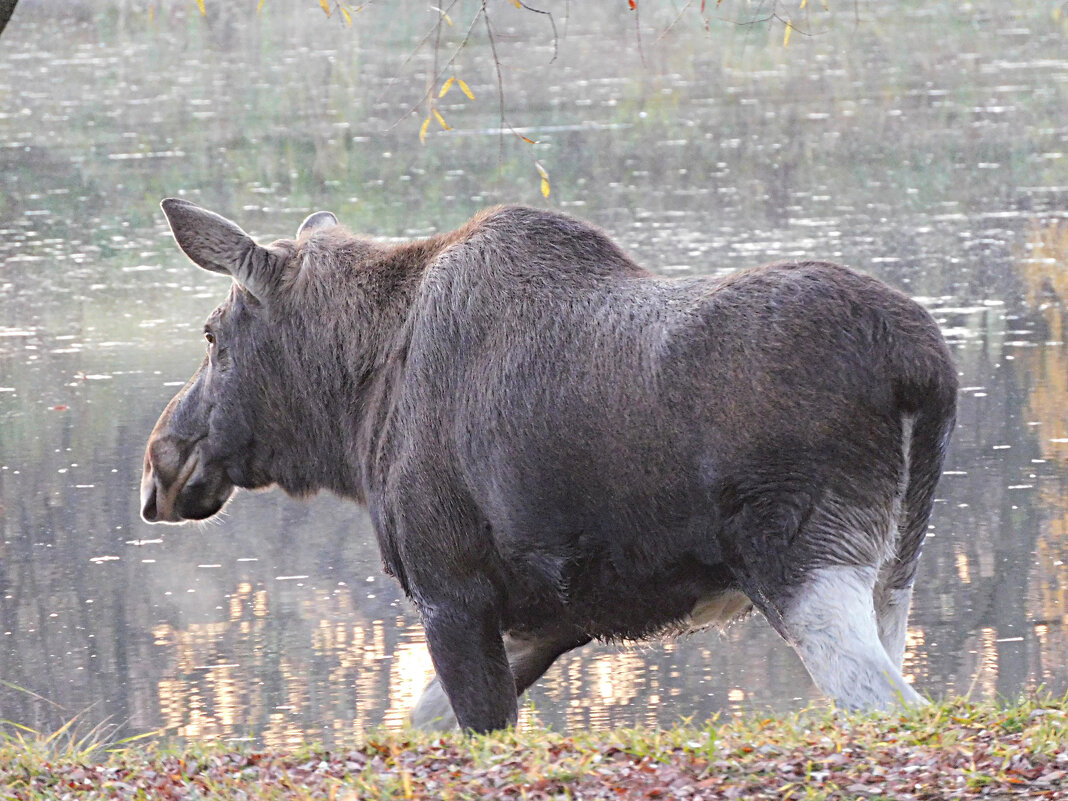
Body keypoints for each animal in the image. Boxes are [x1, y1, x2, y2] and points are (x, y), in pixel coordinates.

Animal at [139, 200, 961, 734]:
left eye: (212, 334)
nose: (160, 464)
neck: (355, 412)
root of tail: (923, 366)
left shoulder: (451, 592)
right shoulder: (544, 619)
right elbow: (422, 725)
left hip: (802, 565)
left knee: (895, 708)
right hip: (894, 571)